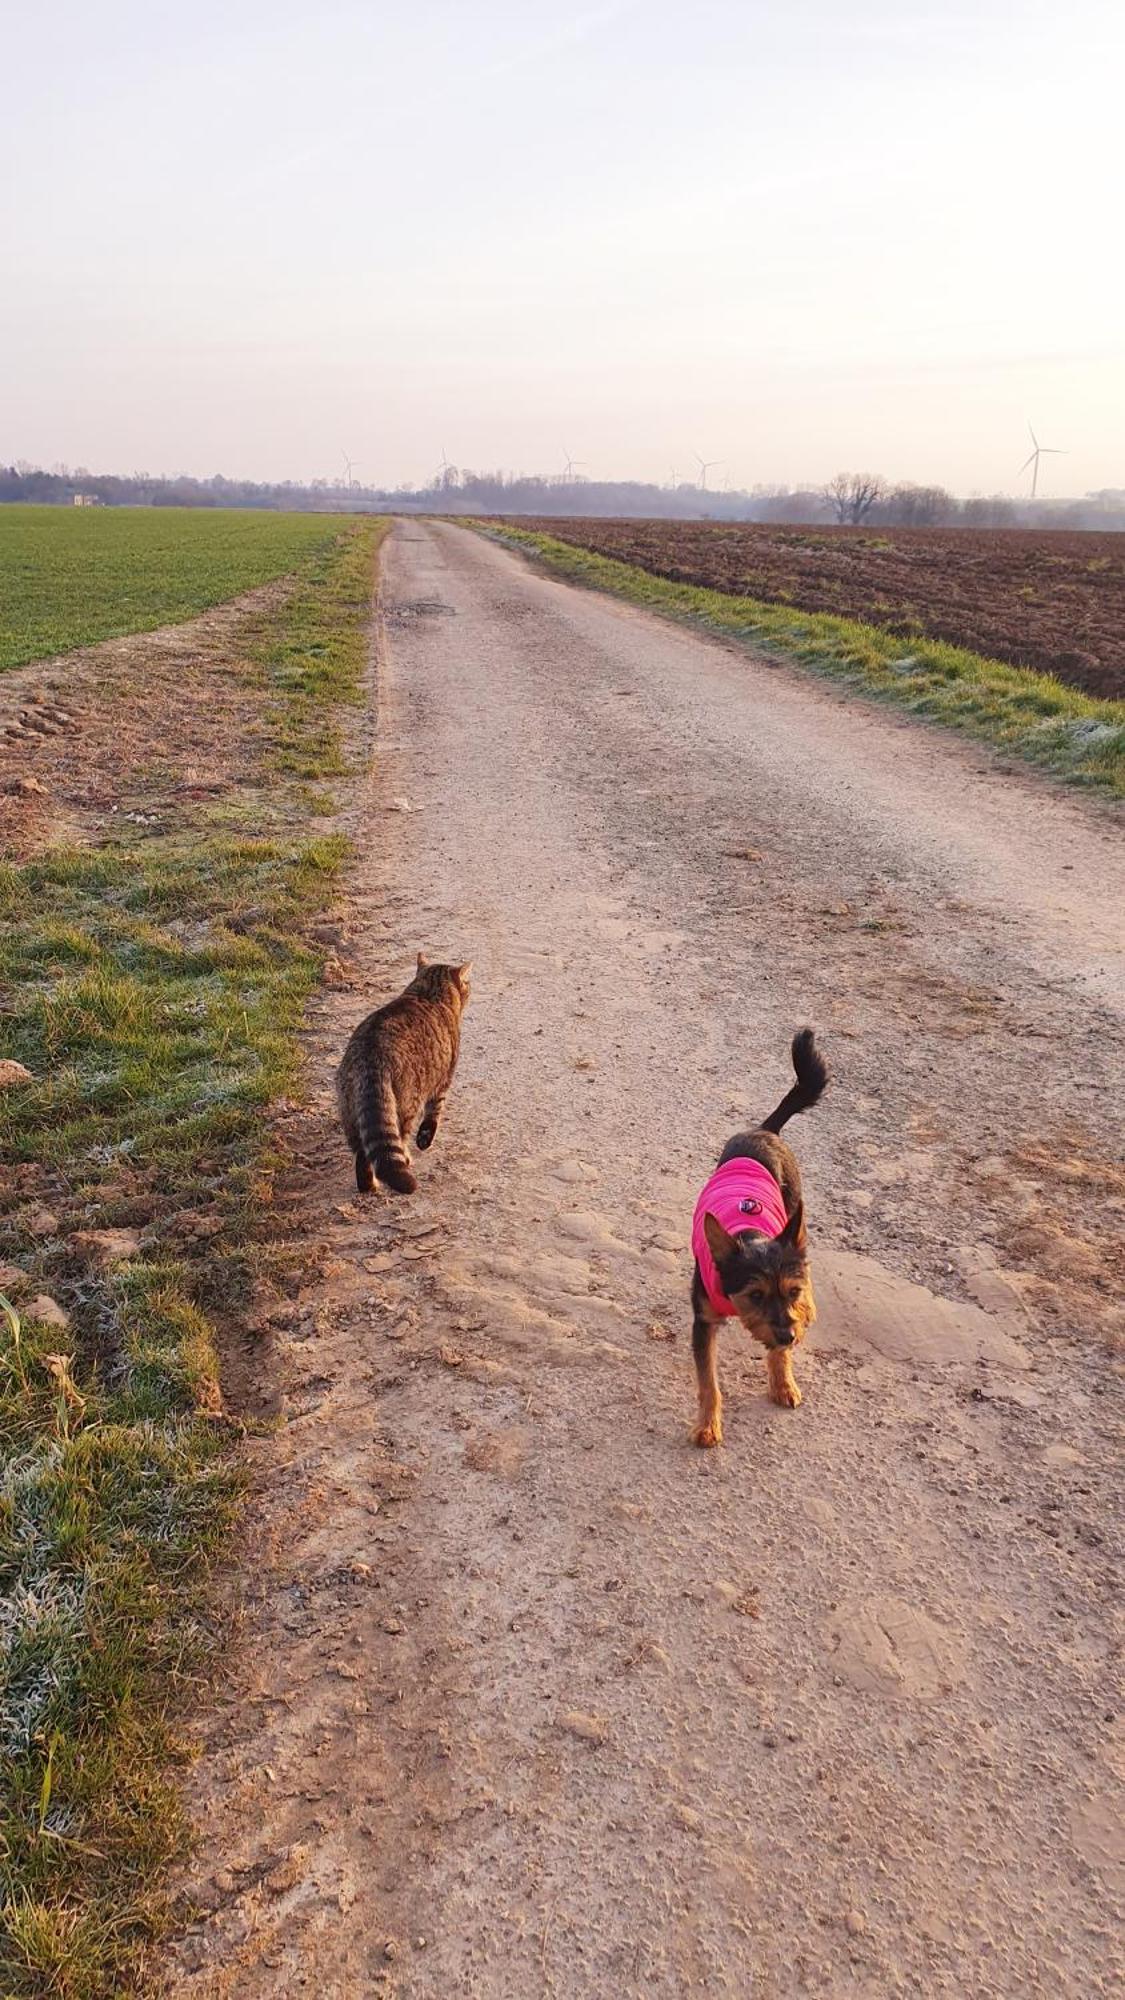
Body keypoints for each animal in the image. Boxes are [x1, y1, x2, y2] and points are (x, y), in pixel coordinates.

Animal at [336, 948, 468, 1184]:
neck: (429, 993)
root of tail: (371, 1055)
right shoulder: (444, 1080)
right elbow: (434, 1113)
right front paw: (425, 1138)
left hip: (350, 1111)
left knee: (362, 1154)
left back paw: (369, 1184)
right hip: (407, 1103)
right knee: (398, 1138)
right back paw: (404, 1159)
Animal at [684, 1040, 824, 1448]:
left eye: (793, 1291)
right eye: (755, 1295)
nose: (790, 1335)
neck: (750, 1235)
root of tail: (763, 1130)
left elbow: (779, 1354)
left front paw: (783, 1382)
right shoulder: (703, 1323)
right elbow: (709, 1383)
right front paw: (708, 1425)